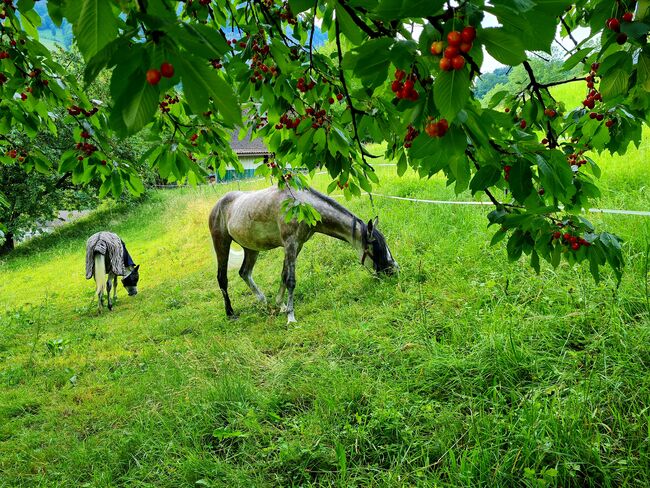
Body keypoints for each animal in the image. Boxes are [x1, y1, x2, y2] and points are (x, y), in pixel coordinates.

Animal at [210, 187, 398, 324]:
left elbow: (284, 275)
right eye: (377, 248)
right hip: (222, 243)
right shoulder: (290, 244)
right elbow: (291, 281)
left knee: (245, 272)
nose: (394, 271)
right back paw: (230, 313)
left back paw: (263, 301)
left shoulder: (296, 245)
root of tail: (217, 205)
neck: (301, 205)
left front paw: (281, 305)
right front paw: (291, 317)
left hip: (251, 248)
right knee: (222, 278)